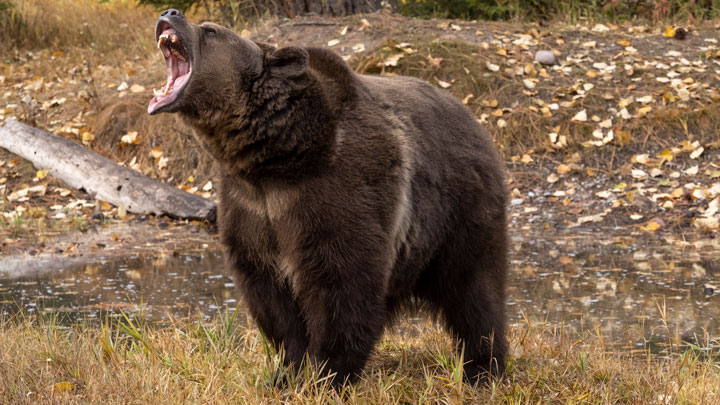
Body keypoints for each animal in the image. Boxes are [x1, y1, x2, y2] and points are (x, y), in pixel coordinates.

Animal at [148, 9, 508, 387]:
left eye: (211, 31)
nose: (170, 12)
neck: (276, 159)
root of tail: (474, 119)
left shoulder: (335, 190)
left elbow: (341, 283)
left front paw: (328, 373)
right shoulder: (251, 207)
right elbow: (270, 294)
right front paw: (287, 371)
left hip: (460, 211)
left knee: (474, 290)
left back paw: (483, 368)